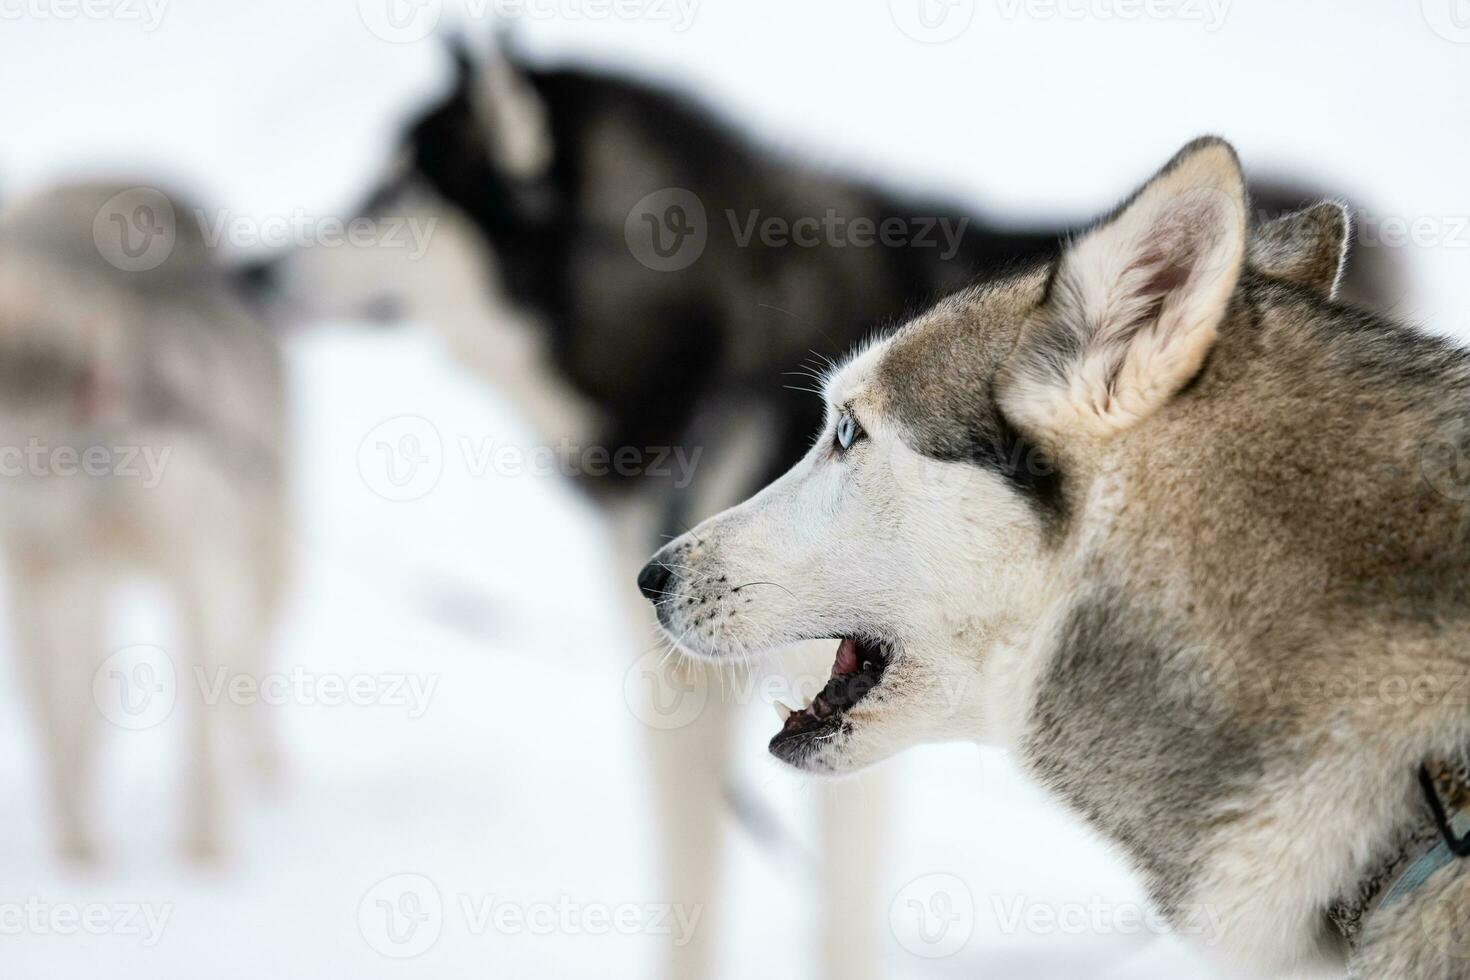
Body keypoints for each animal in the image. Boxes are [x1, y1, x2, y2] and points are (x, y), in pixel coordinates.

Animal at [0, 183, 289, 858]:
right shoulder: (38, 575)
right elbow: (58, 726)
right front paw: (77, 850)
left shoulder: (199, 563)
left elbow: (206, 715)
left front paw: (205, 849)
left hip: (263, 546)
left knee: (254, 664)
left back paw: (264, 772)